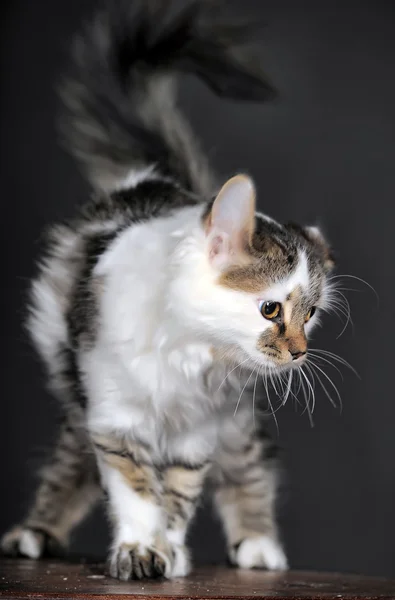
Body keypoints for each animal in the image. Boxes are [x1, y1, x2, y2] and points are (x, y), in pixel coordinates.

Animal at [0, 0, 336, 580]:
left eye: (310, 315)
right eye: (271, 309)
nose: (299, 353)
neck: (189, 354)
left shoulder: (198, 432)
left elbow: (177, 495)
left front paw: (170, 552)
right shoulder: (114, 414)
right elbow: (135, 490)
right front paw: (139, 549)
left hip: (235, 422)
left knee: (249, 466)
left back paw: (258, 543)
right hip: (78, 396)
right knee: (69, 464)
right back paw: (36, 533)